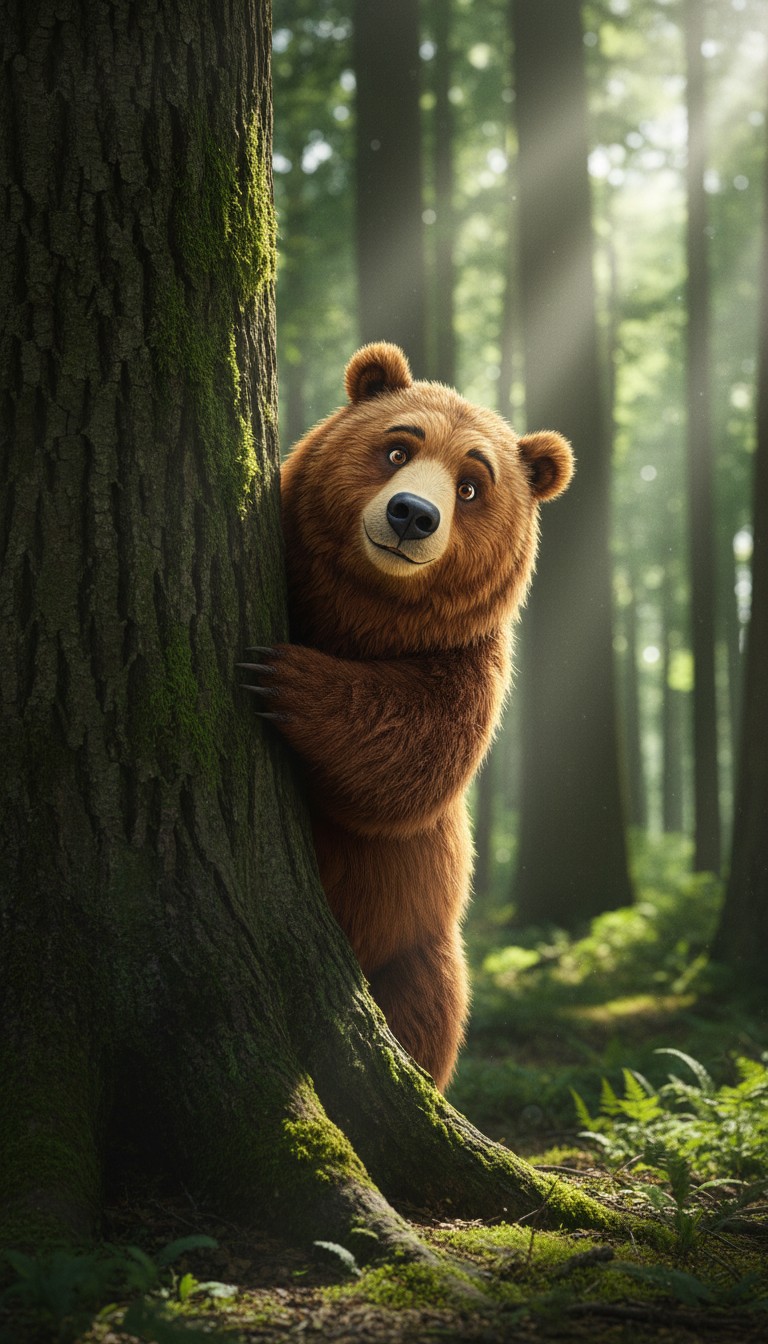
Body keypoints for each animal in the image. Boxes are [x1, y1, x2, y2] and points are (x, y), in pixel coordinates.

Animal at [241, 343, 573, 1091]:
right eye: (398, 449)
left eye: (471, 486)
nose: (413, 515)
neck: (363, 618)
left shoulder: (465, 662)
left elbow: (415, 760)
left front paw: (283, 678)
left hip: (415, 949)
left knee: (425, 1017)